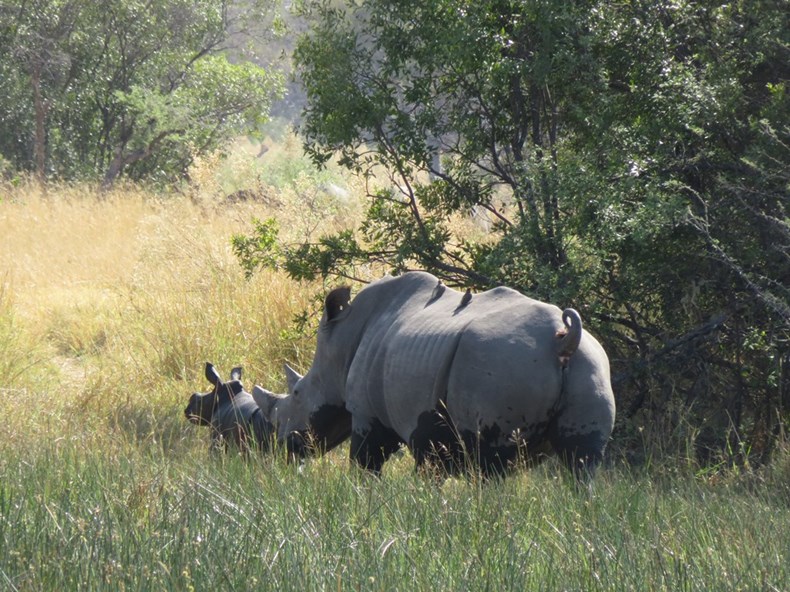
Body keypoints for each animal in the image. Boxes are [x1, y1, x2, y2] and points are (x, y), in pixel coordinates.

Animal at [254, 272, 620, 476]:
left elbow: (365, 464)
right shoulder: (432, 429)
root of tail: (563, 339)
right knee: (582, 462)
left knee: (492, 465)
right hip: (591, 363)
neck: (341, 344)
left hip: (502, 365)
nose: (285, 448)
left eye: (298, 394)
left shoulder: (369, 415)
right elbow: (431, 471)